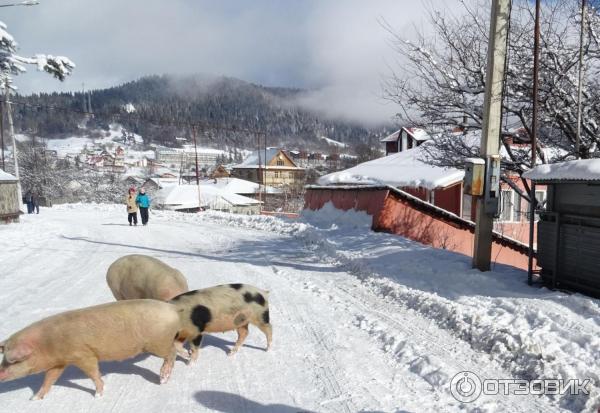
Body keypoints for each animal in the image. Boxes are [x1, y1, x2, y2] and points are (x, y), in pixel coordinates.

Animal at [0, 300, 180, 400]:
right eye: (3, 360)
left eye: (13, 361)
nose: (0, 373)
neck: (47, 344)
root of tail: (172, 309)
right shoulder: (59, 363)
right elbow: (49, 379)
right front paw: (34, 399)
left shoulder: (82, 354)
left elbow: (93, 373)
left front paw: (98, 395)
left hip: (157, 342)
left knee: (171, 353)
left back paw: (163, 379)